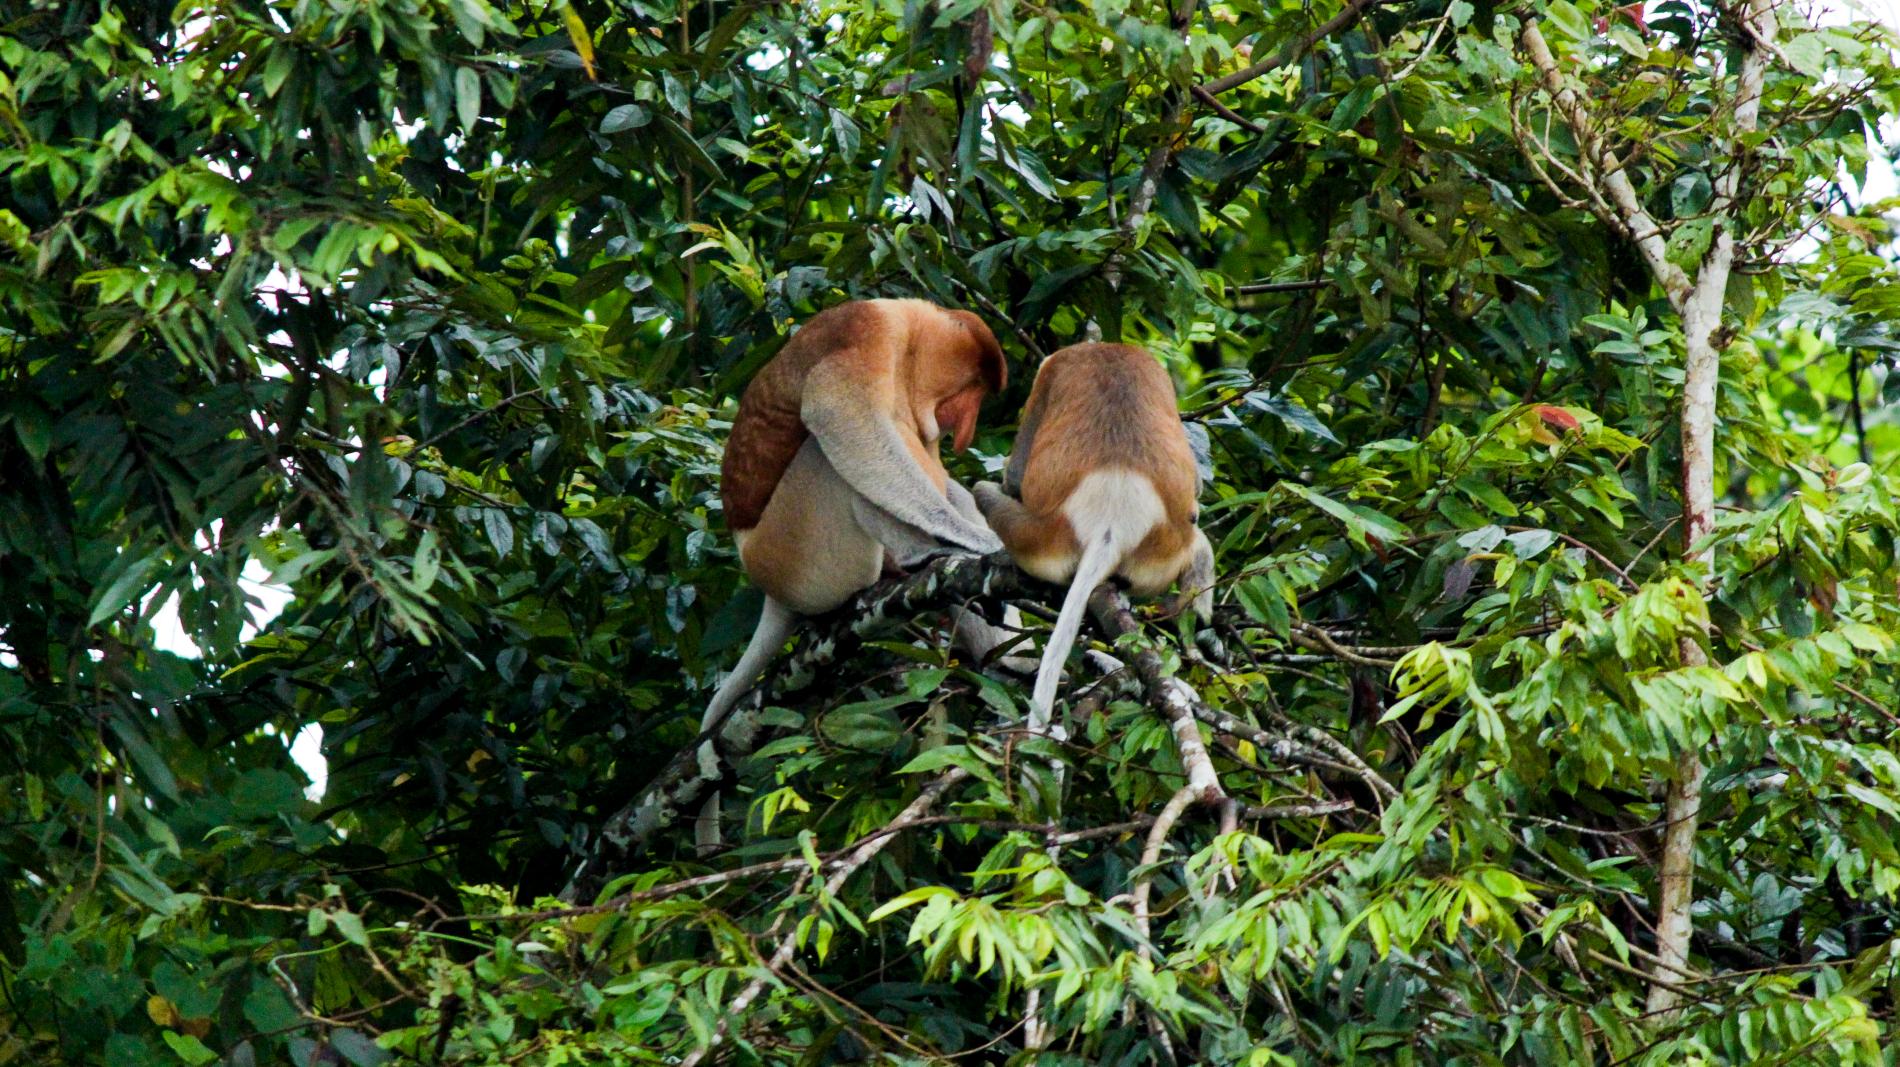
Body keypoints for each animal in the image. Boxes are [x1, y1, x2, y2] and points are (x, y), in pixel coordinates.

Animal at [696, 299, 1008, 850]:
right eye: (971, 386)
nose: (964, 429)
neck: (908, 338)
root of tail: (769, 590)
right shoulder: (866, 333)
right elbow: (843, 416)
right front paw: (977, 542)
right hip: (798, 551)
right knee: (830, 453)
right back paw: (919, 556)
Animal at [973, 343, 1215, 732]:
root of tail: (1110, 525)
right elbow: (1194, 487)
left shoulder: (1051, 370)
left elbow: (1016, 475)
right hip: (1162, 552)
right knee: (1196, 544)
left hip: (1038, 539)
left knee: (983, 491)